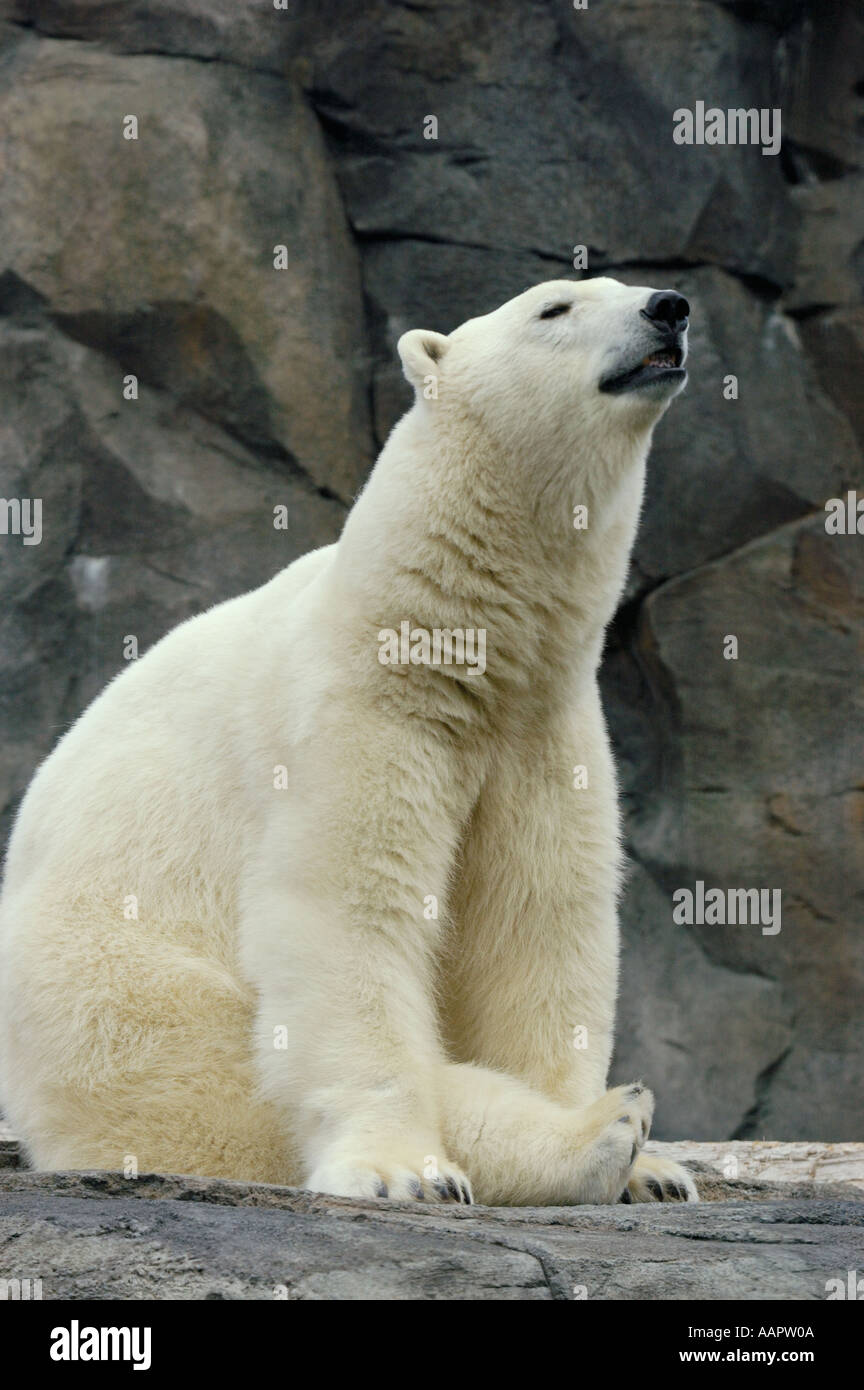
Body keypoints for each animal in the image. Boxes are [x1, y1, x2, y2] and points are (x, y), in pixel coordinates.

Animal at [0, 276, 697, 1206]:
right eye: (553, 308)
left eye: (626, 286)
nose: (669, 306)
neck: (452, 637)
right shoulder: (356, 711)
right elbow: (344, 909)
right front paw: (404, 1171)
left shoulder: (542, 729)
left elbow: (538, 922)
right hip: (115, 998)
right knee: (231, 1093)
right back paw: (602, 1130)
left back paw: (642, 1156)